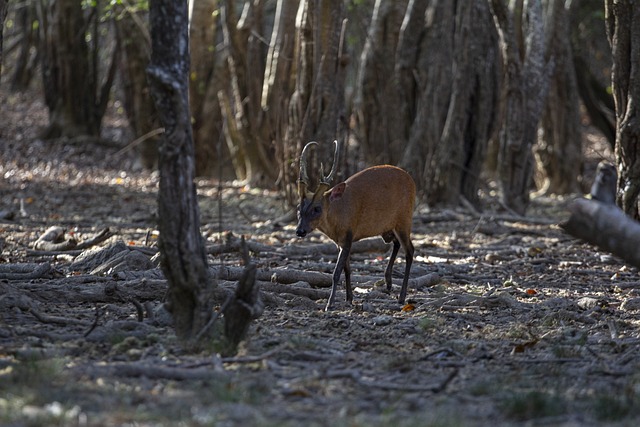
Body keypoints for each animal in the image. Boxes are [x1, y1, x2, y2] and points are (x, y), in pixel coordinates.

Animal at [294, 140, 416, 310]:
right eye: (299, 207)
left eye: (317, 209)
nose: (300, 231)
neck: (337, 215)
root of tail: (412, 180)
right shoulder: (340, 242)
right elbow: (347, 269)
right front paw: (349, 298)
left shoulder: (348, 236)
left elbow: (336, 272)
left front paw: (330, 304)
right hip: (388, 228)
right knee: (396, 243)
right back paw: (388, 282)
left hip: (404, 220)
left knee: (410, 251)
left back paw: (401, 297)